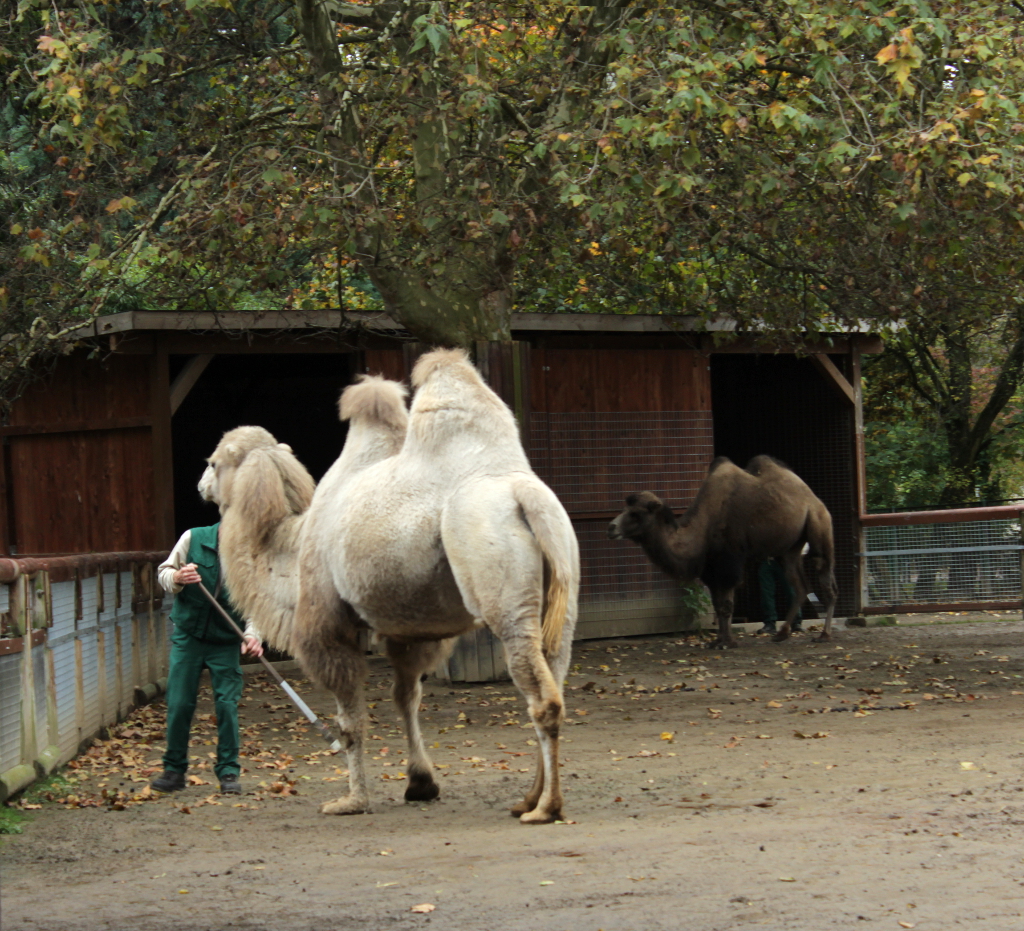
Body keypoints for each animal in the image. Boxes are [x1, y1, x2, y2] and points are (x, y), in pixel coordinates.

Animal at [606, 452, 831, 643]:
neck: (703, 526)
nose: (611, 527)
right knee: (801, 587)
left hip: (819, 522)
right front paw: (718, 641)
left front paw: (727, 642)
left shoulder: (729, 561)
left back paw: (823, 635)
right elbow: (717, 604)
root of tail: (812, 498)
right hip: (789, 549)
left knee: (826, 578)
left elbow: (726, 606)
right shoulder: (711, 568)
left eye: (636, 513)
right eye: (625, 508)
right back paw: (782, 634)